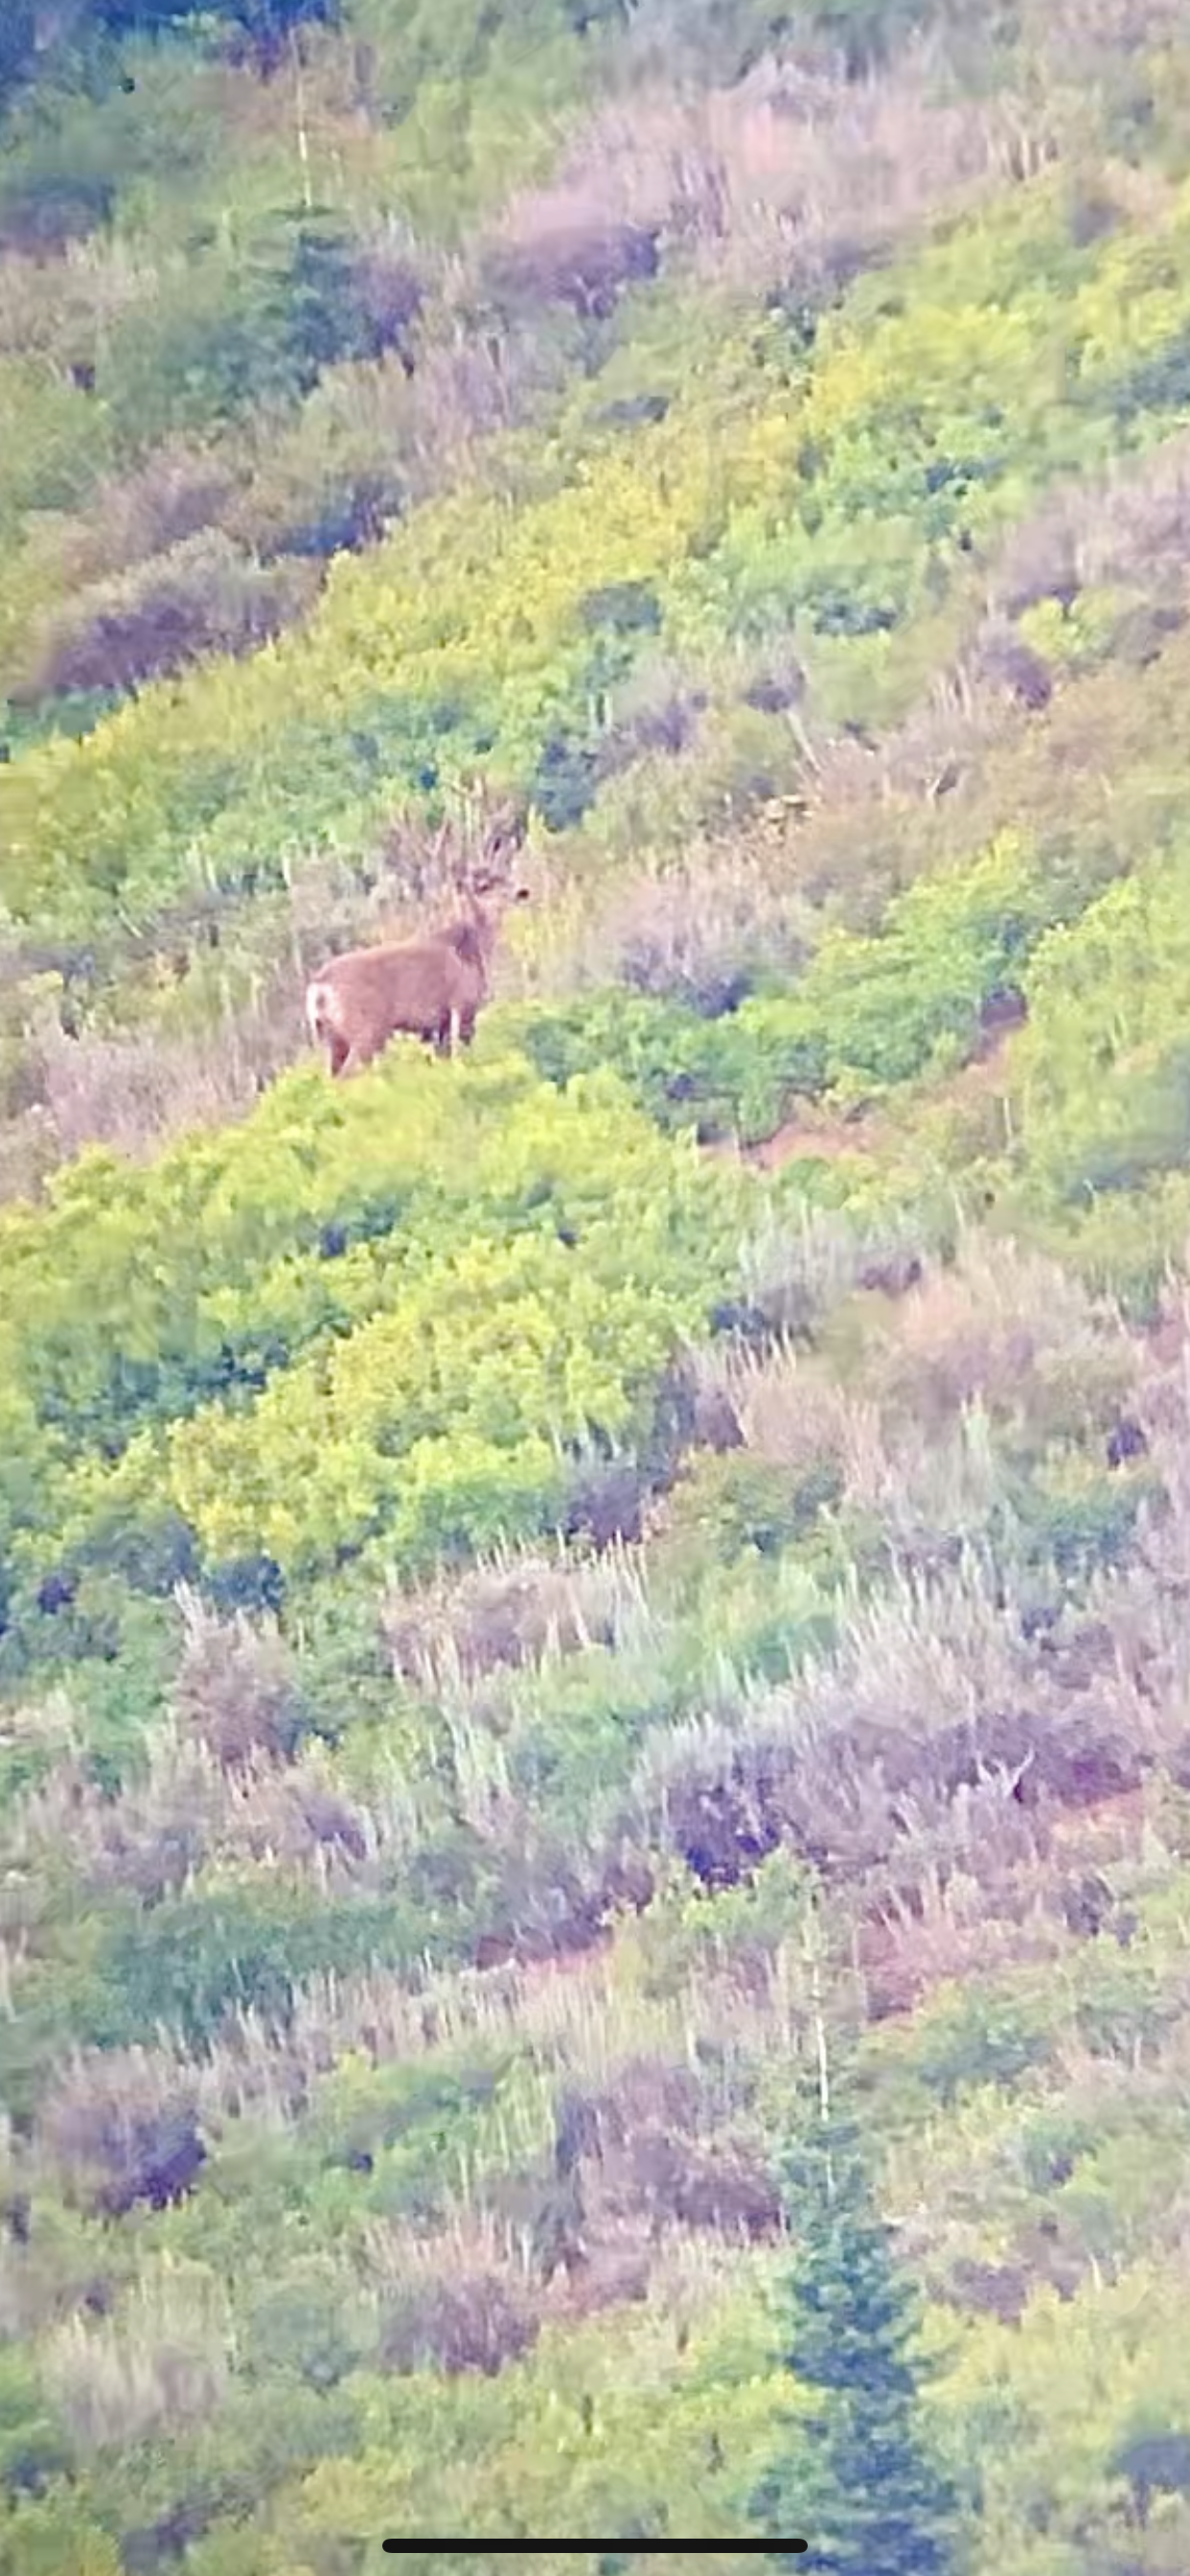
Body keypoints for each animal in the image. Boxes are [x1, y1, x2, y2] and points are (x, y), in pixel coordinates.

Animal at [304, 793, 531, 1078]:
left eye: (506, 874)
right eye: (484, 885)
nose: (522, 891)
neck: (470, 948)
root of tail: (319, 989)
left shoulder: (435, 1026)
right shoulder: (462, 1007)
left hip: (331, 1038)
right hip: (367, 1029)